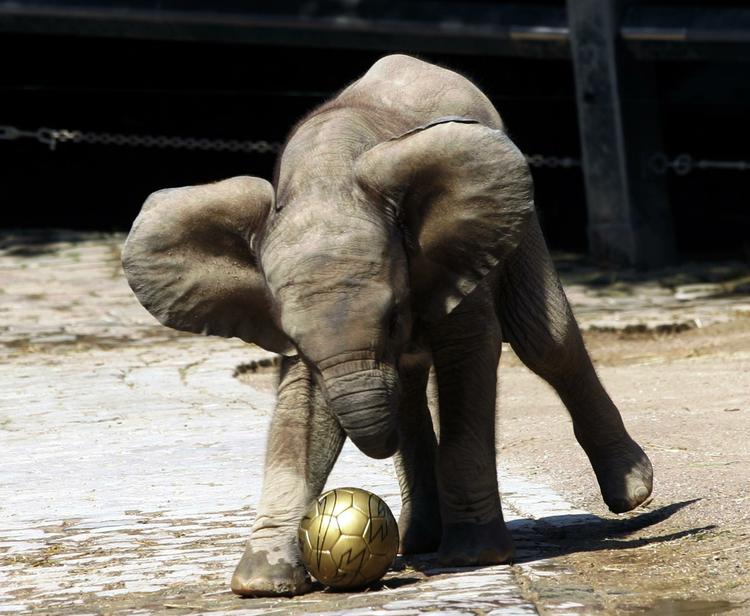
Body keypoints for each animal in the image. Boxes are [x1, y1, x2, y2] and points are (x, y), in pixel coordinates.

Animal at [122, 54, 653, 597]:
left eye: (395, 315)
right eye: (292, 338)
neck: (327, 180)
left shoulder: (455, 254)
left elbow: (470, 355)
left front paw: (474, 556)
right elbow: (299, 402)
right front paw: (261, 582)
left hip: (516, 221)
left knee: (542, 337)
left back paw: (631, 492)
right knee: (416, 385)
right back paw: (418, 539)